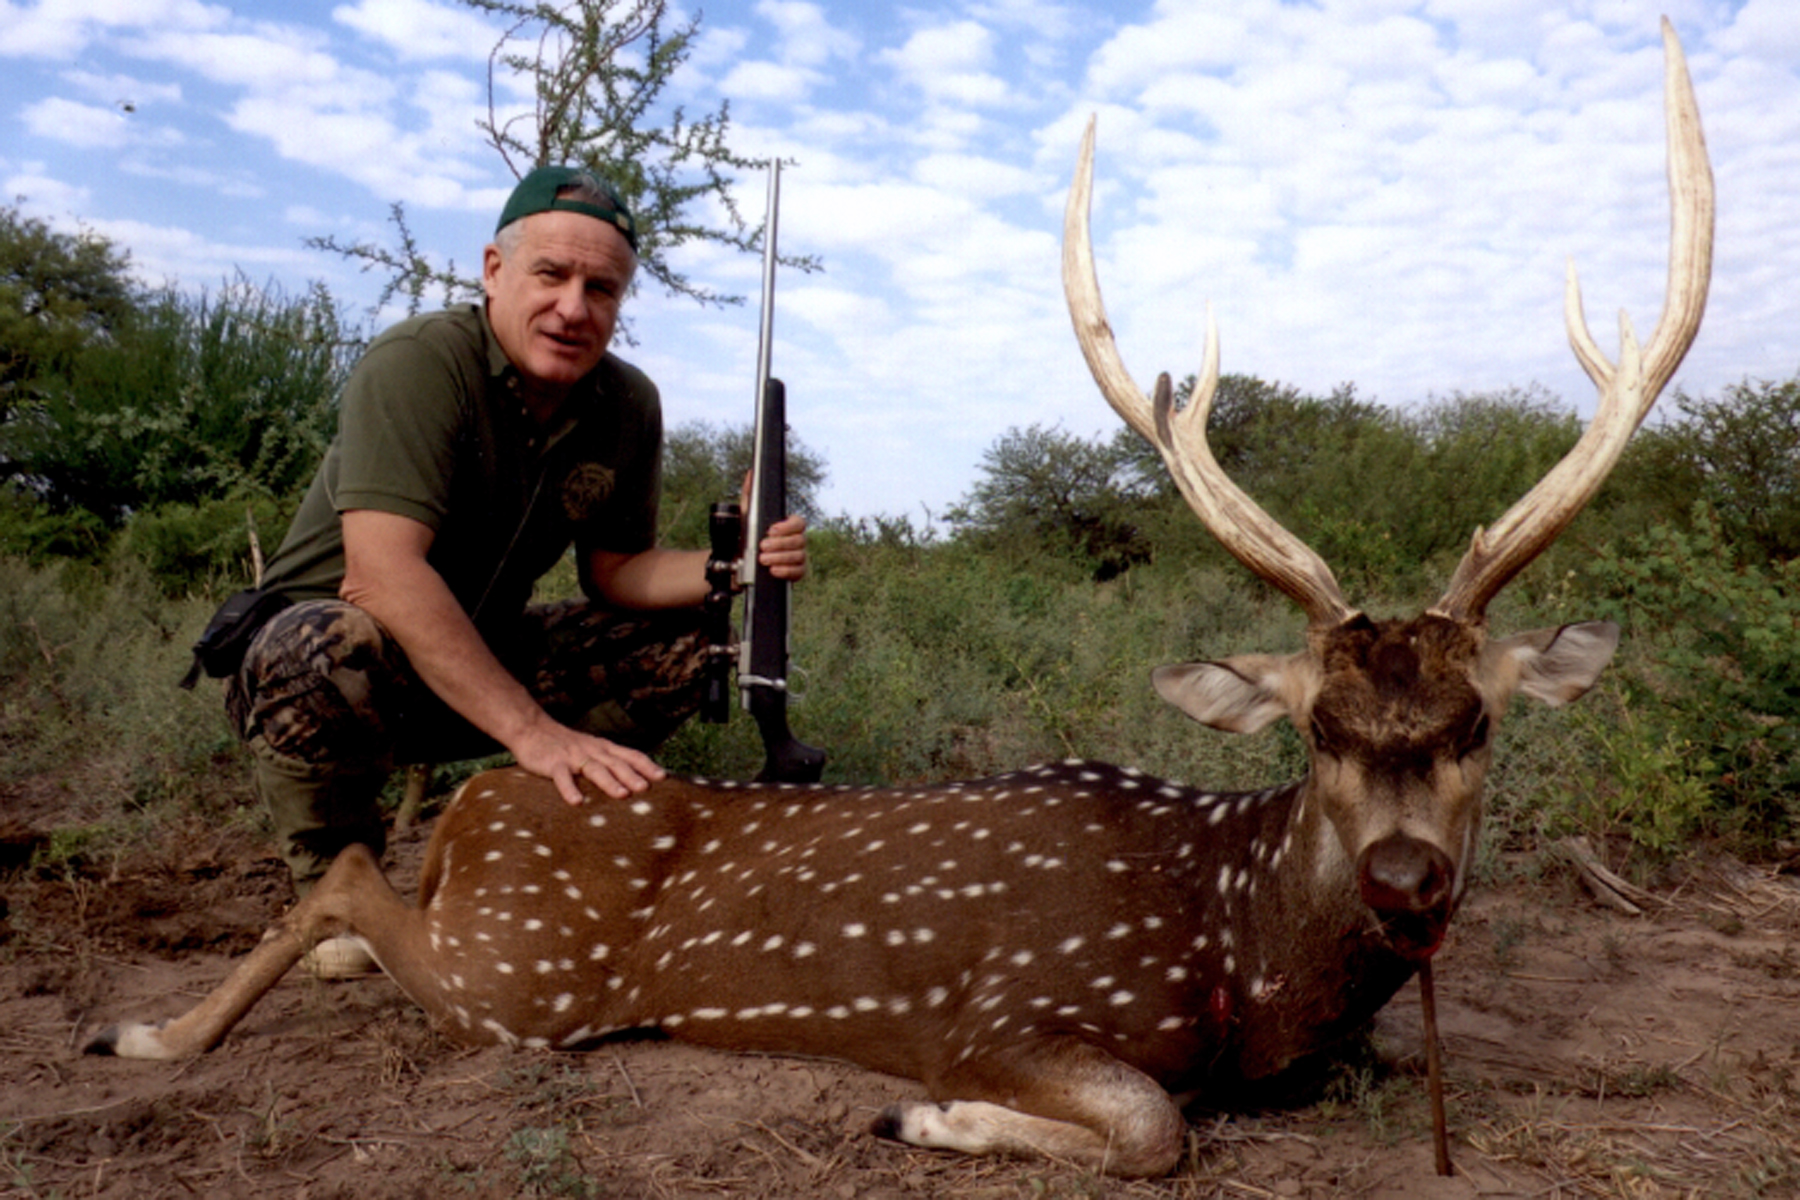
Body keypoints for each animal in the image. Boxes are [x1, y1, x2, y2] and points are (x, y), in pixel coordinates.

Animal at [86, 21, 1711, 1179]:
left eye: (1479, 720)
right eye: (1314, 727)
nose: (1404, 880)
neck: (1245, 958)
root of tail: (486, 798)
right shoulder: (1016, 1008)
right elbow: (1152, 1124)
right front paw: (927, 1120)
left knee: (361, 909)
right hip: (524, 973)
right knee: (347, 871)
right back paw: (144, 1035)